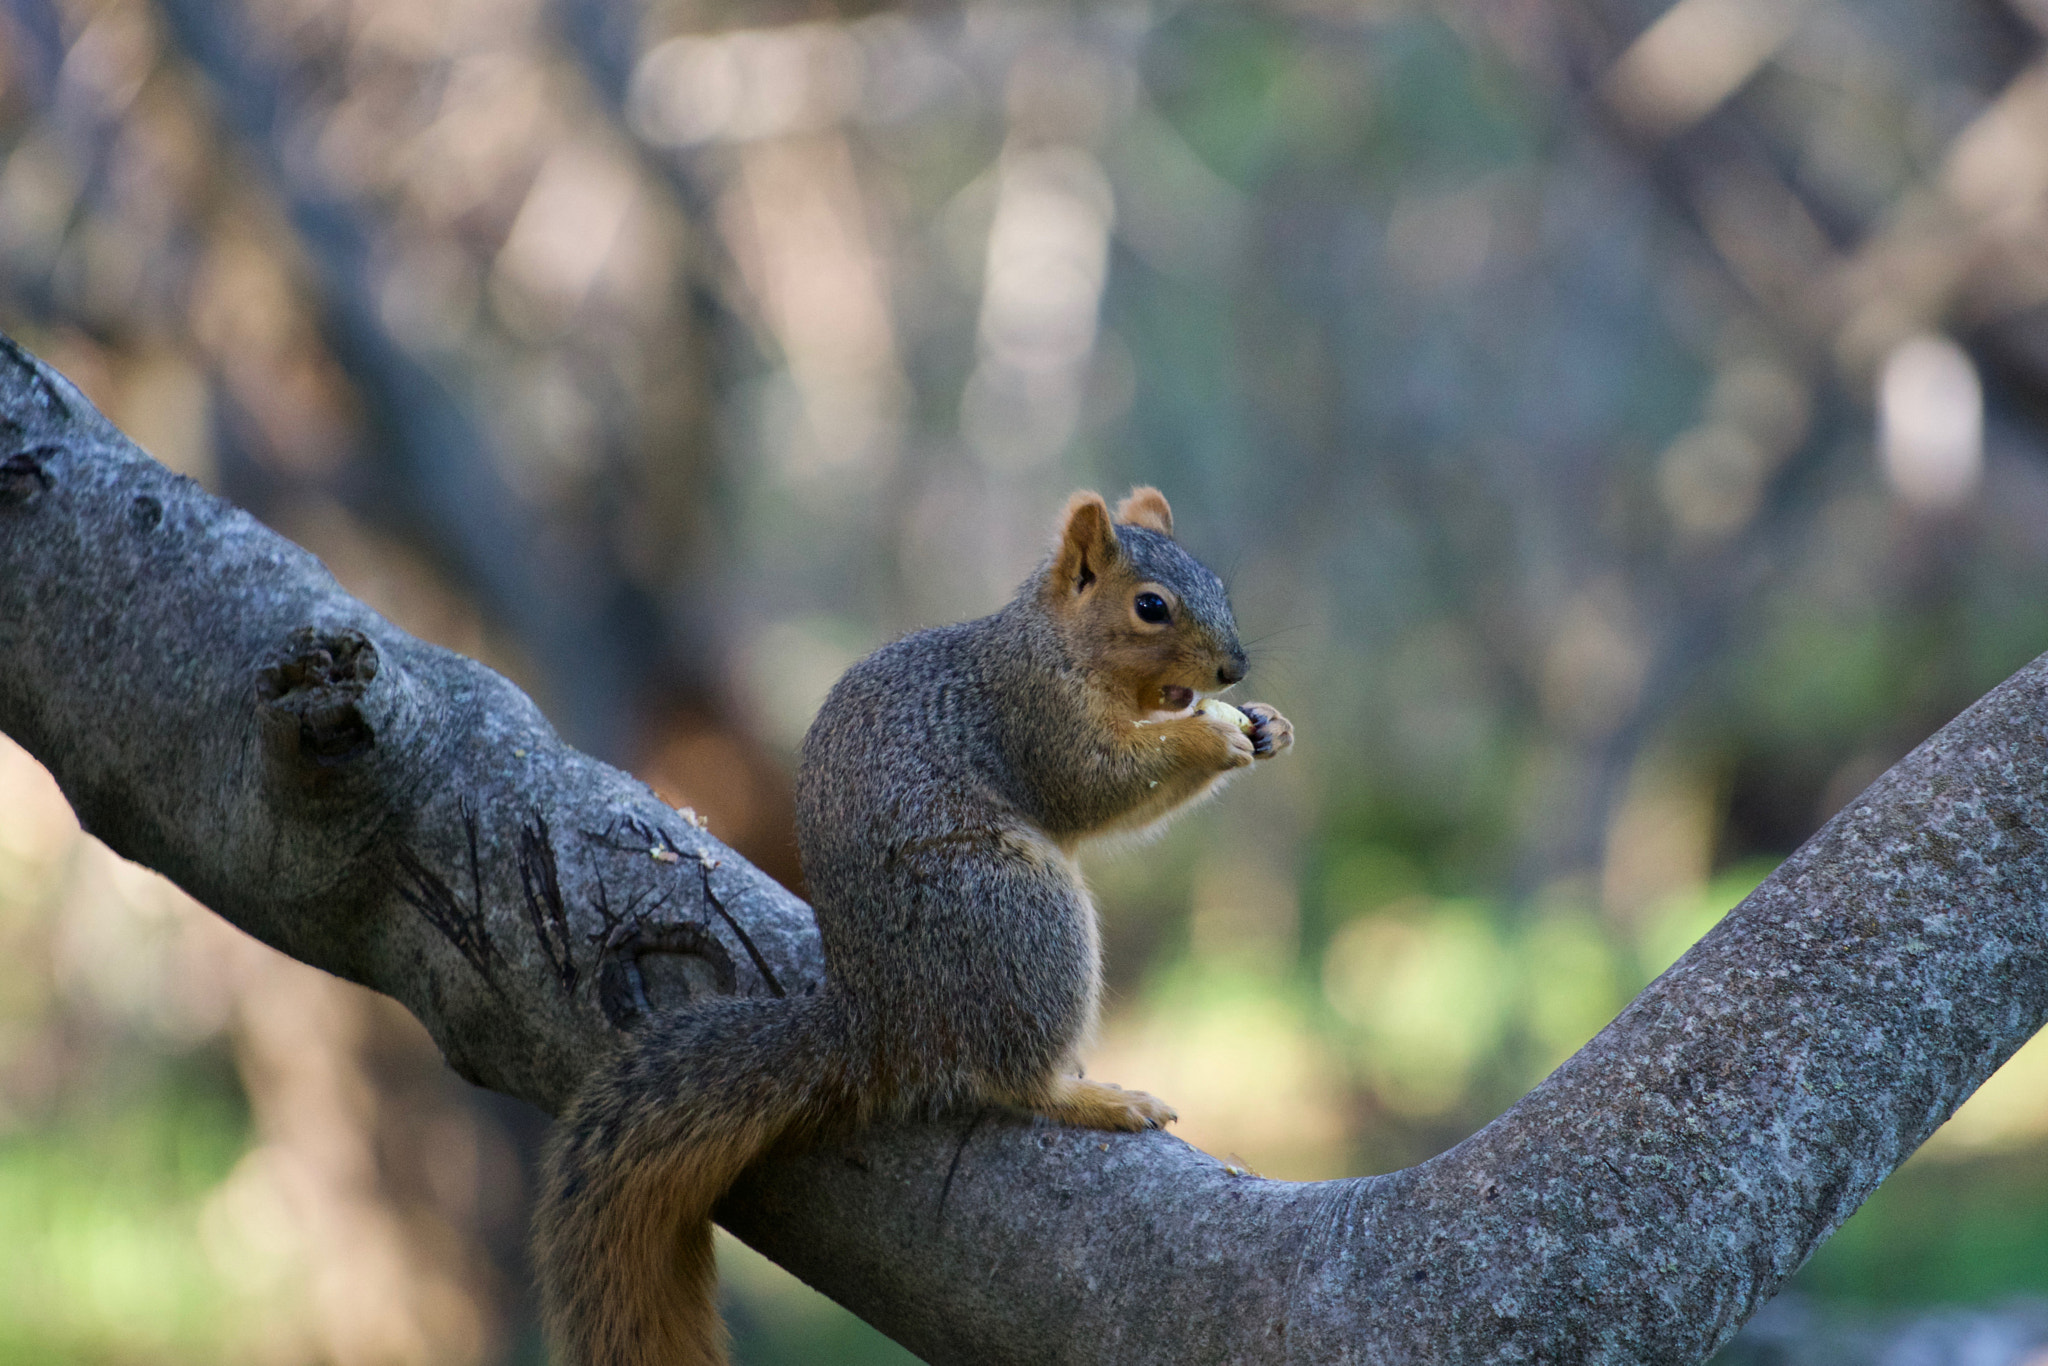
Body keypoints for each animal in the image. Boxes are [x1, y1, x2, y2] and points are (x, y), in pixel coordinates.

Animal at [532, 485, 1294, 1359]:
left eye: (1219, 585)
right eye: (1151, 607)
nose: (1233, 671)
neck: (1054, 644)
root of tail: (884, 1023)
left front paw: (1270, 723)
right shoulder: (1034, 718)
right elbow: (1095, 784)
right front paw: (1209, 734)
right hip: (1016, 914)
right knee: (1011, 1077)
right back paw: (1097, 1098)